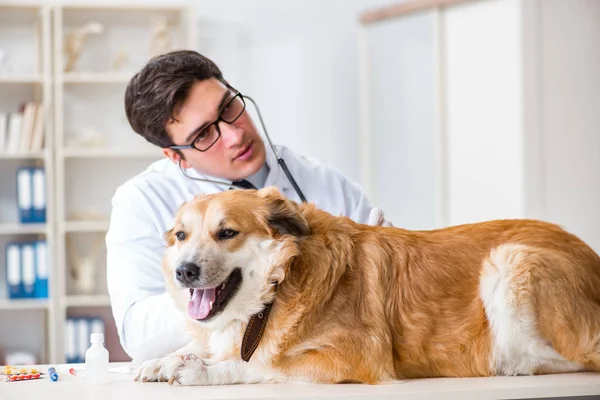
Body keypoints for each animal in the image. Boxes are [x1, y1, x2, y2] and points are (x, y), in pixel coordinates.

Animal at [135, 188, 600, 384]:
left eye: (227, 232)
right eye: (181, 236)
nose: (184, 272)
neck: (278, 287)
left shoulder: (354, 357)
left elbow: (262, 363)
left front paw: (203, 370)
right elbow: (203, 343)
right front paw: (166, 360)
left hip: (509, 259)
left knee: (578, 358)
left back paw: (513, 363)